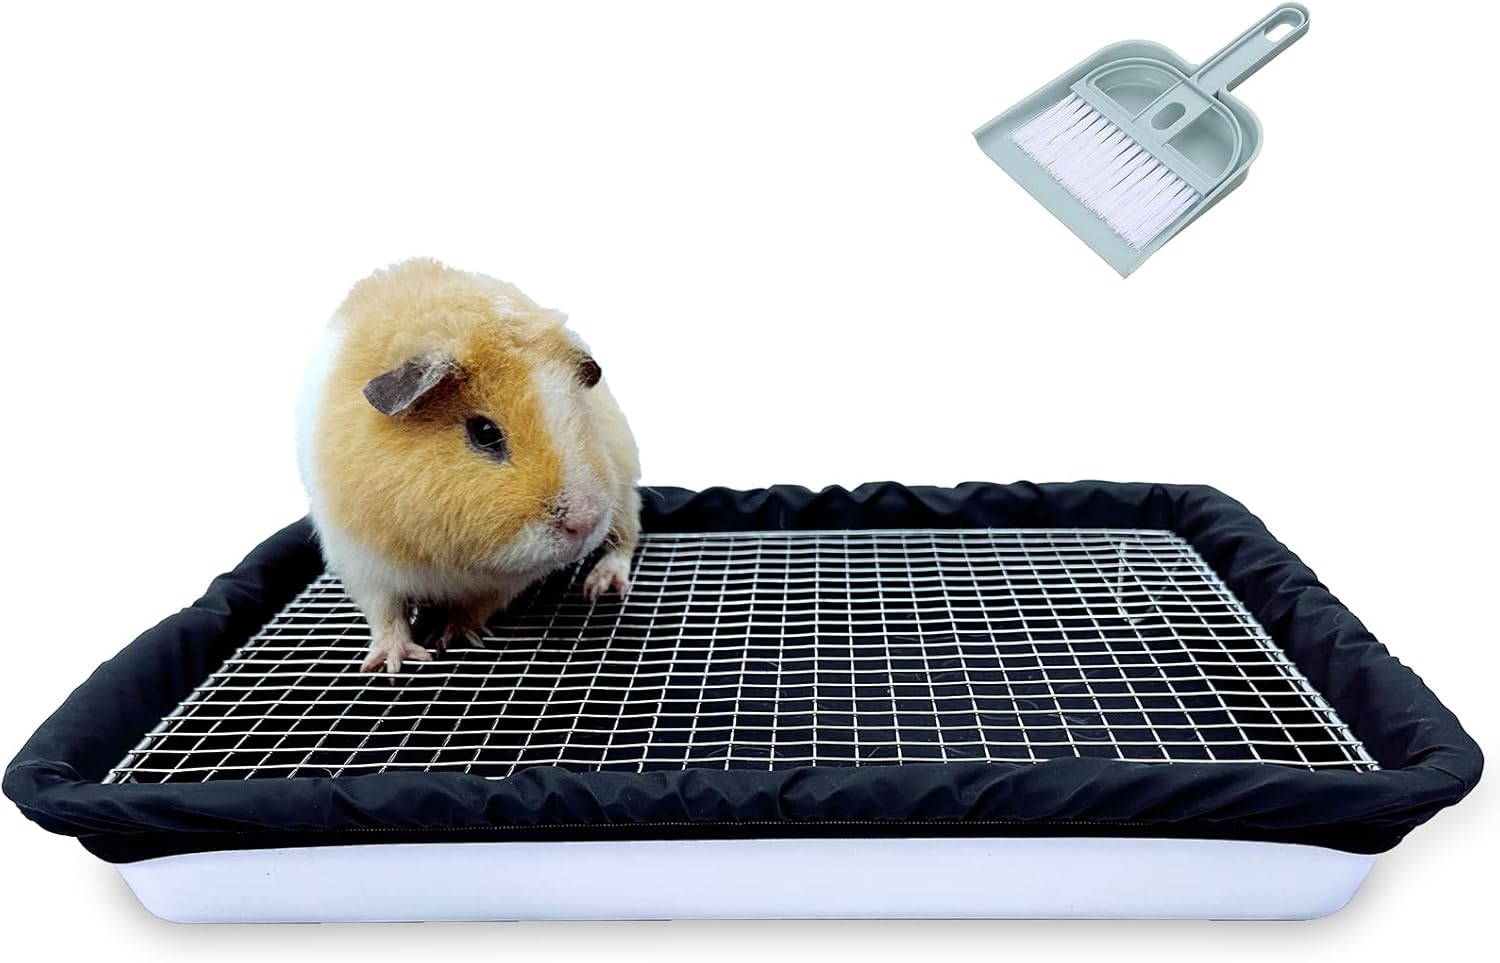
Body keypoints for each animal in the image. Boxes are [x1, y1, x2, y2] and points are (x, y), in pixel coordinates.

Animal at [296, 258, 641, 674]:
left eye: (581, 412)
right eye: (484, 433)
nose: (585, 522)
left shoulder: (506, 581)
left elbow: (474, 607)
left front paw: (448, 637)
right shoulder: (361, 563)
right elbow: (387, 614)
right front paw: (393, 665)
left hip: (624, 490)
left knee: (626, 538)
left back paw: (600, 587)